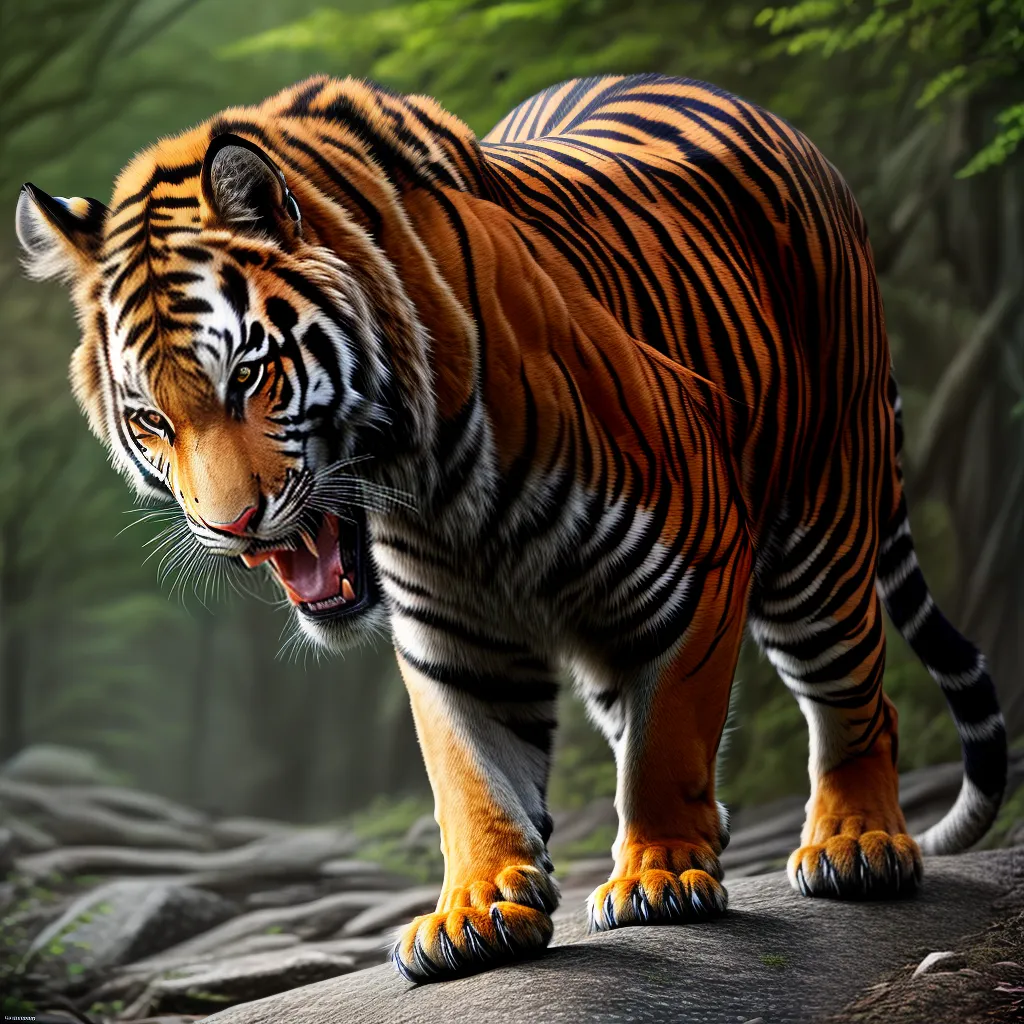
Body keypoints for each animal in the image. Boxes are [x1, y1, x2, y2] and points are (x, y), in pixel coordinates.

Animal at [16, 73, 1007, 983]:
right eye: (152, 420)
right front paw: (476, 907)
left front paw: (659, 874)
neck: (426, 482)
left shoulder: (695, 550)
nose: (236, 528)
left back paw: (858, 842)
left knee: (857, 693)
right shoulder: (450, 626)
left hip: (820, 525)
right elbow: (470, 771)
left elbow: (669, 735)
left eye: (250, 377)